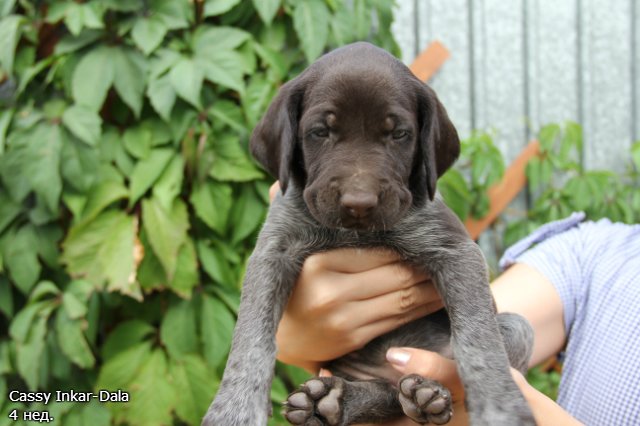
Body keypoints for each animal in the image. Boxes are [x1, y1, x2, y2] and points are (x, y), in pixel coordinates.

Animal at [204, 42, 535, 426]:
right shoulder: (274, 250)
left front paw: (501, 408)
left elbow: (478, 340)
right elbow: (251, 336)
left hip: (517, 328)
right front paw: (234, 409)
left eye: (399, 134)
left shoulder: (455, 251)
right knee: (386, 395)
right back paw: (331, 400)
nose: (358, 203)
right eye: (320, 132)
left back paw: (426, 393)